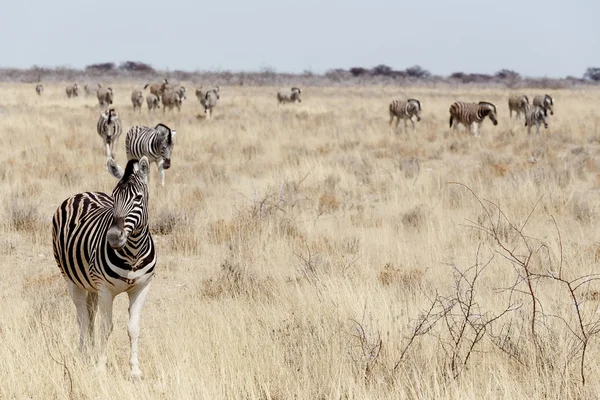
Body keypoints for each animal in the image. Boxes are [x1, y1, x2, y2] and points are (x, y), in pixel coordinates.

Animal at [52, 156, 155, 382]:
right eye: (114, 198)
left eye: (138, 198)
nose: (114, 237)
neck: (133, 253)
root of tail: (82, 193)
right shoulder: (106, 289)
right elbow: (106, 327)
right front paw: (100, 368)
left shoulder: (141, 288)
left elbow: (133, 328)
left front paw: (135, 370)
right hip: (71, 280)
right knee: (82, 317)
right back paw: (84, 354)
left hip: (91, 285)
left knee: (90, 314)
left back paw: (90, 351)